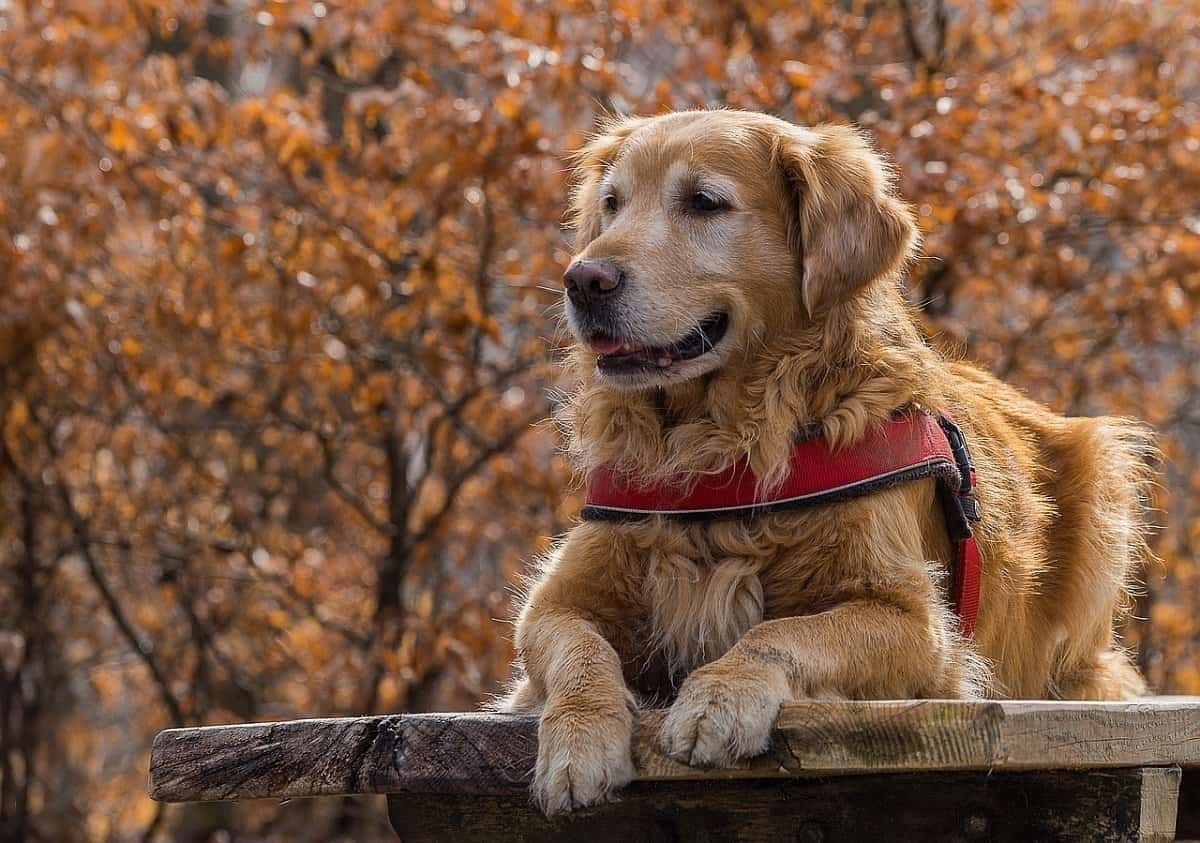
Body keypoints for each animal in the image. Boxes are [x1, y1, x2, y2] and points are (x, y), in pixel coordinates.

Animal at [496, 109, 1152, 816]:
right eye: (612, 204)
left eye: (704, 202)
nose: (583, 280)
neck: (722, 446)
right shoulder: (555, 601)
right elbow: (578, 650)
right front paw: (578, 741)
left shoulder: (917, 623)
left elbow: (783, 633)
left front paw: (718, 698)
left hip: (1105, 473)